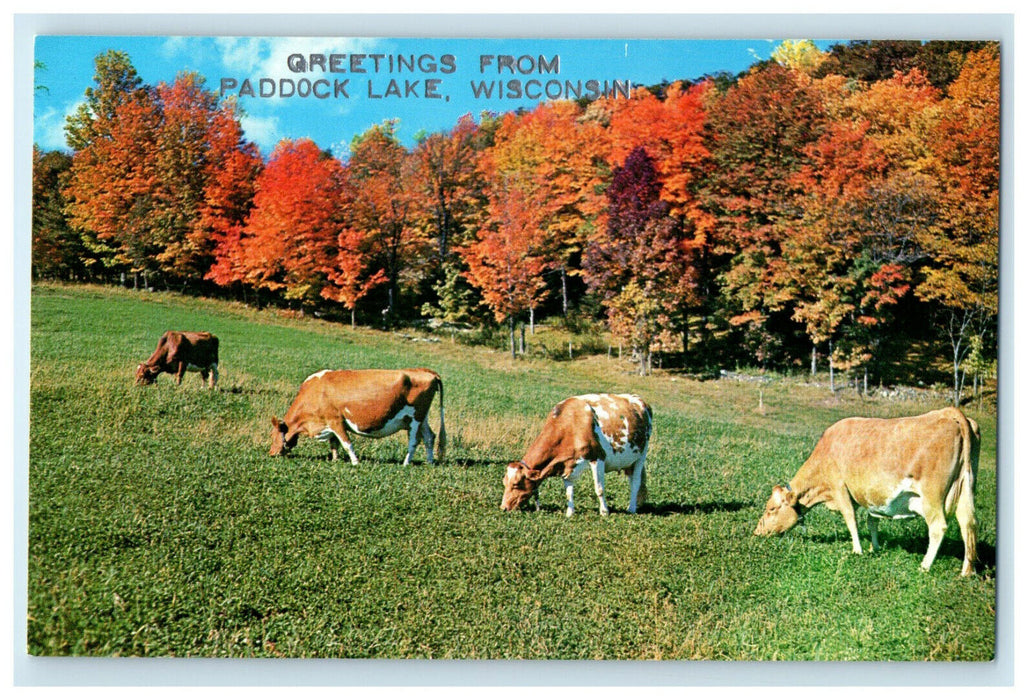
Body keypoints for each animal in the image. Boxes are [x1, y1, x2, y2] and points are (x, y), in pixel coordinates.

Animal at [269, 368, 442, 468]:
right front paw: (335, 459)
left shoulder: (335, 420)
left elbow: (346, 443)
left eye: (272, 435)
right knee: (429, 437)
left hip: (415, 419)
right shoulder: (329, 424)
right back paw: (430, 462)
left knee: (414, 441)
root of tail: (425, 371)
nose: (271, 453)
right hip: (422, 419)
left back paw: (406, 463)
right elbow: (334, 443)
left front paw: (355, 462)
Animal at [496, 391, 649, 517]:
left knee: (636, 482)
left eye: (516, 484)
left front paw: (604, 512)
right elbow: (568, 492)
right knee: (631, 480)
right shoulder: (566, 463)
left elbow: (599, 489)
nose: (503, 507)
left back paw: (631, 508)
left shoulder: (597, 457)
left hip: (641, 456)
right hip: (629, 462)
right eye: (504, 483)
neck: (571, 425)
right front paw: (570, 513)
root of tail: (640, 400)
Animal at [753, 403, 977, 575]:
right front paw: (874, 548)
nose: (757, 532)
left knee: (938, 527)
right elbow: (872, 521)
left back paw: (925, 566)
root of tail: (948, 413)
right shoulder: (873, 498)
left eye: (771, 508)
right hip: (966, 489)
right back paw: (967, 571)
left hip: (932, 496)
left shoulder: (839, 488)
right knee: (968, 524)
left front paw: (858, 550)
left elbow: (851, 519)